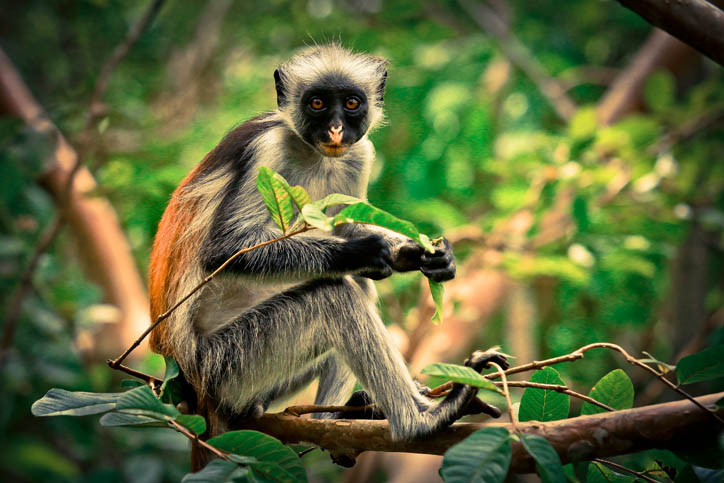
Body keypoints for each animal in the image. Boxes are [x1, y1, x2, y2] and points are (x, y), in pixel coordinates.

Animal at [148, 43, 504, 448]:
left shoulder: (359, 152)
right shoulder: (267, 149)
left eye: (351, 104)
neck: (314, 153)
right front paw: (365, 252)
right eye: (317, 104)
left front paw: (421, 255)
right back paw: (419, 420)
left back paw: (329, 418)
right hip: (226, 364)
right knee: (337, 296)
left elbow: (346, 224)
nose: (335, 129)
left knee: (356, 286)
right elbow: (225, 249)